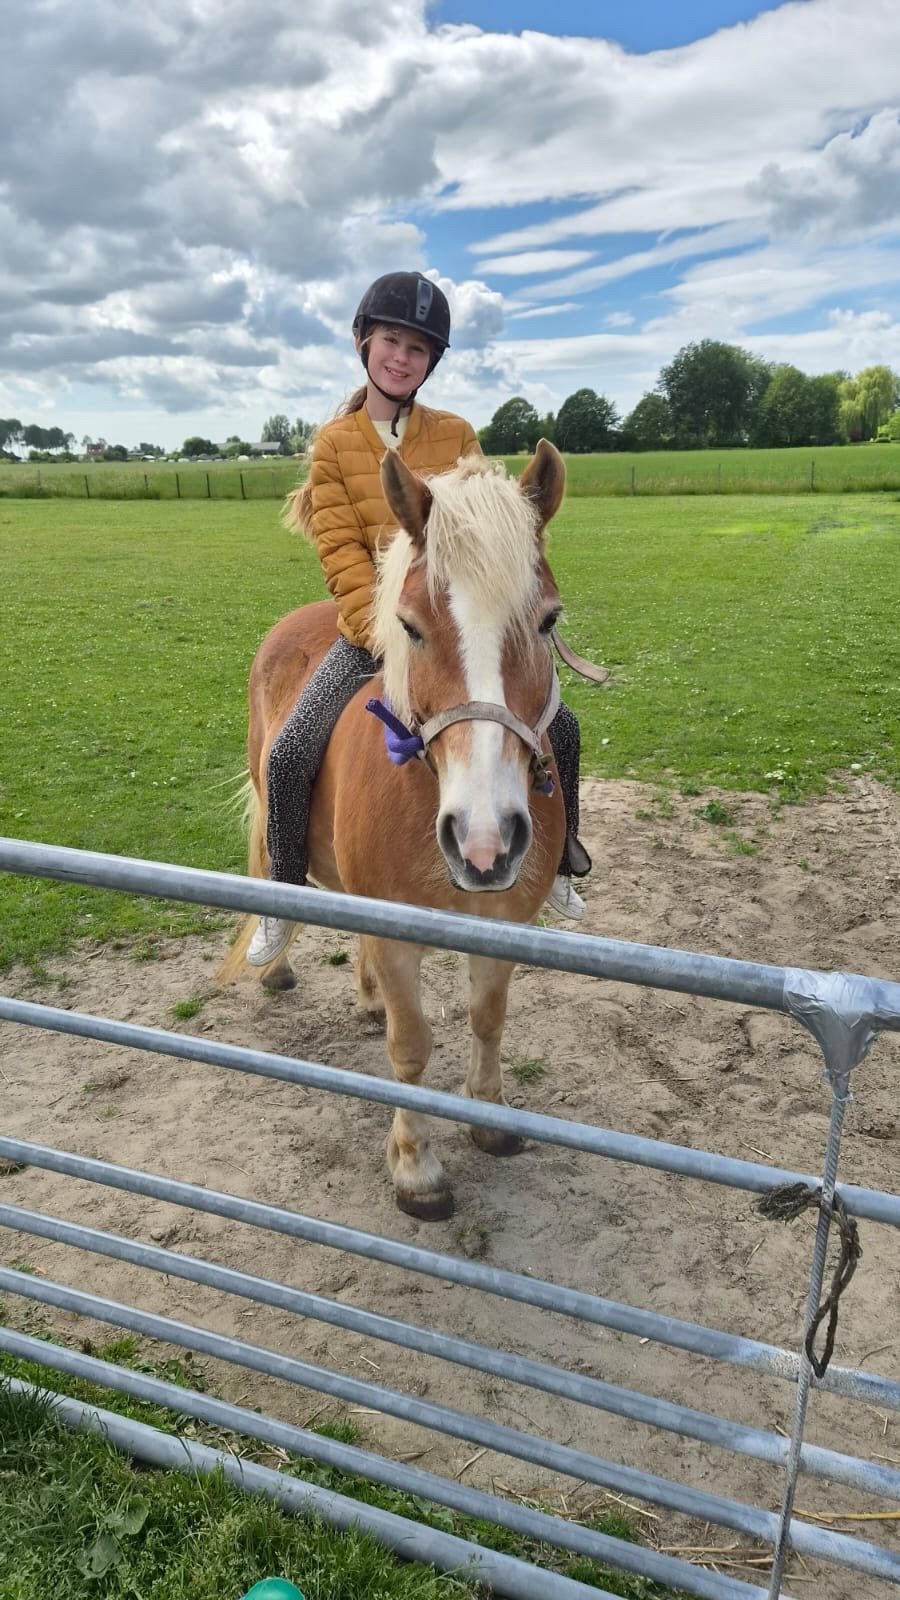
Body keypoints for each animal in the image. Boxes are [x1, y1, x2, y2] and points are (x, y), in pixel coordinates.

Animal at [222, 440, 568, 1220]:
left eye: (549, 621)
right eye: (410, 626)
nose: (484, 840)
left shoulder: (502, 923)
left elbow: (487, 1020)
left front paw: (488, 1120)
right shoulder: (398, 932)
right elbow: (411, 1048)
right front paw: (416, 1170)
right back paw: (277, 963)